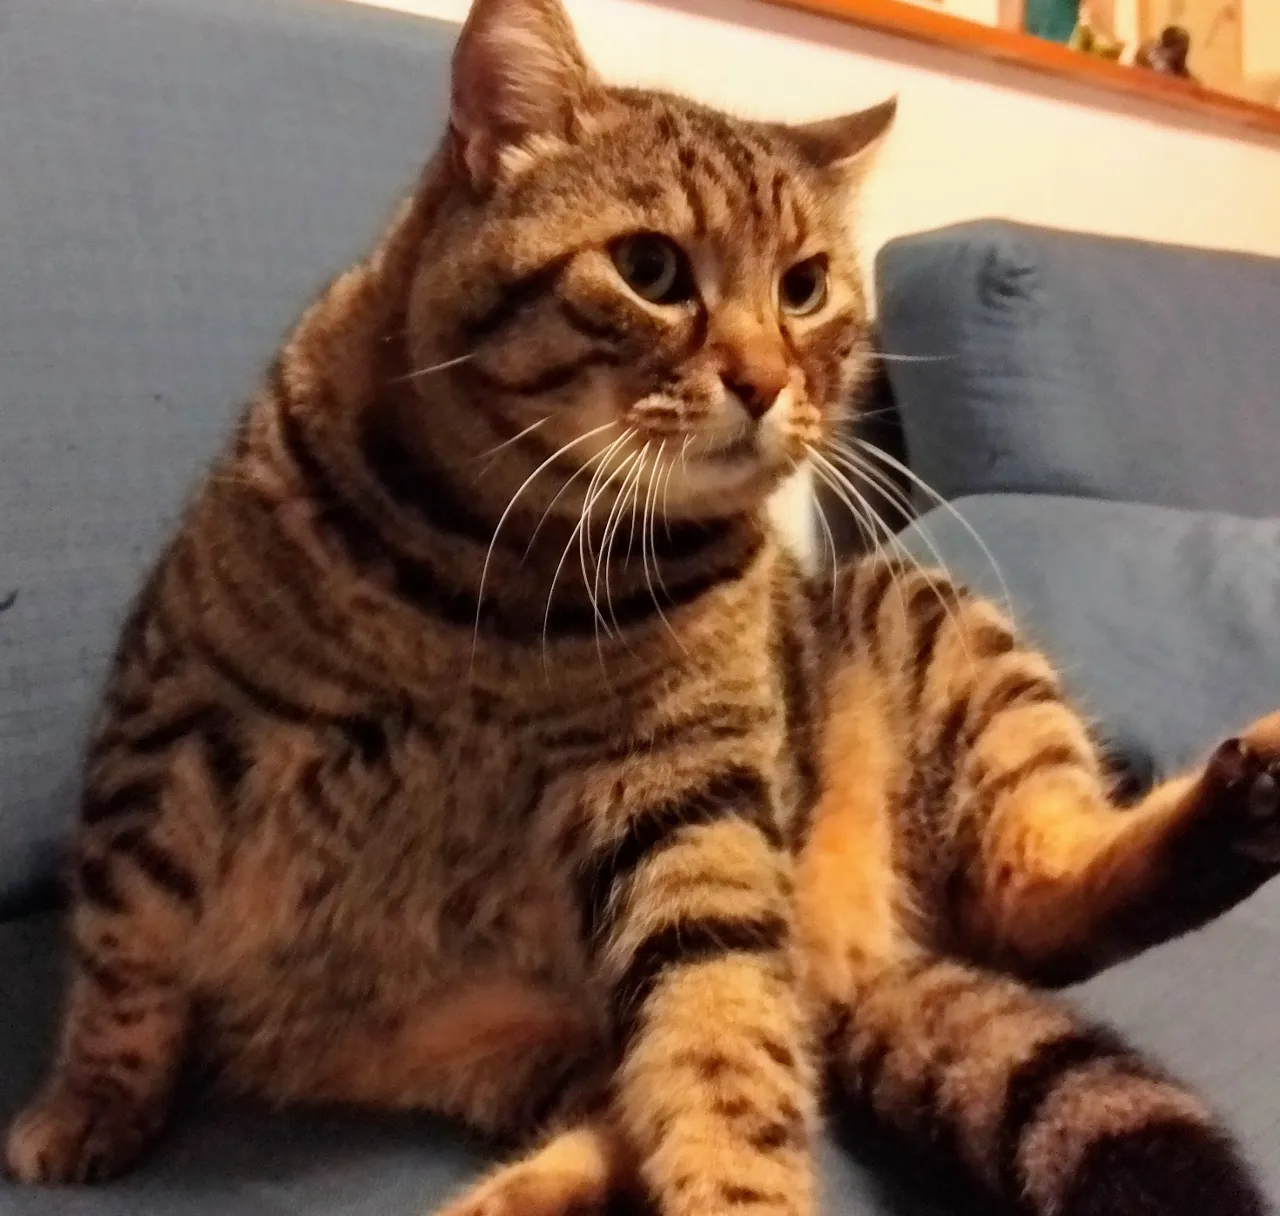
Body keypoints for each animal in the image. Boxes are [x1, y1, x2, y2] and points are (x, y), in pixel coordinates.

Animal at [2, 2, 1280, 1216]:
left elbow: (722, 1057)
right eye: (652, 271)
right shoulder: (170, 724)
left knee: (1011, 912)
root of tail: (848, 958)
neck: (502, 575)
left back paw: (1245, 790)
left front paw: (741, 1194)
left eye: (803, 288)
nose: (765, 381)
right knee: (646, 1099)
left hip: (938, 634)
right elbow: (125, 954)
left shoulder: (687, 798)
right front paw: (88, 1108)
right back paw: (511, 1195)